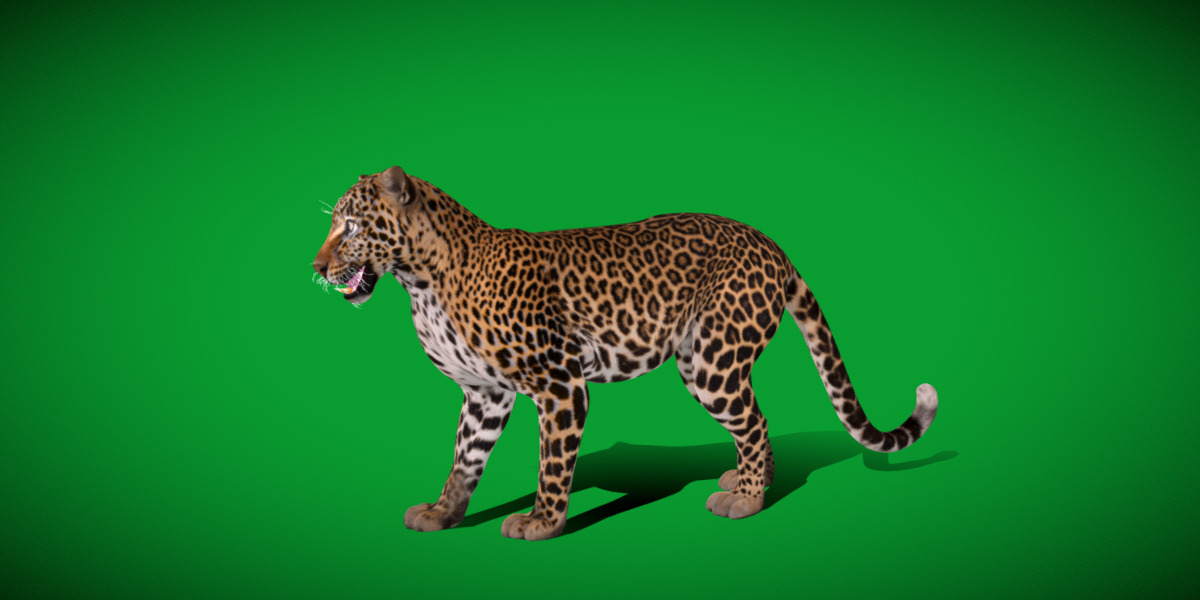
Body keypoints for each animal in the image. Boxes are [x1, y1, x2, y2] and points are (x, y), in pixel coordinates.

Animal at [312, 166, 939, 541]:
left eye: (351, 227)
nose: (316, 266)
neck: (420, 282)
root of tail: (770, 242)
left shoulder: (560, 383)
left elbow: (552, 461)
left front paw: (542, 521)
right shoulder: (484, 393)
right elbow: (465, 458)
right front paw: (443, 513)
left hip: (713, 359)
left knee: (756, 421)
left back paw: (747, 499)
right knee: (752, 424)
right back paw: (743, 478)